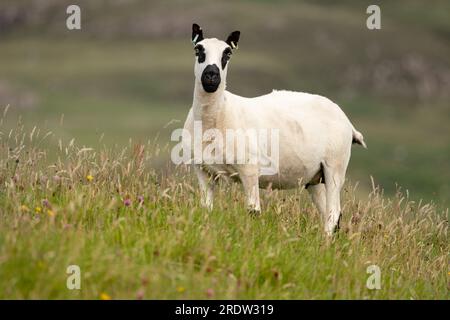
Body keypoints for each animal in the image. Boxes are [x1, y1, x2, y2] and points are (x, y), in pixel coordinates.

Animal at [182, 23, 366, 235]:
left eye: (227, 54)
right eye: (198, 50)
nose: (211, 75)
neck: (216, 117)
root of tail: (347, 122)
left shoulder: (249, 169)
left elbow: (253, 212)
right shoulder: (203, 171)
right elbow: (206, 209)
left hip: (335, 166)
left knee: (333, 213)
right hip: (315, 177)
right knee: (330, 214)